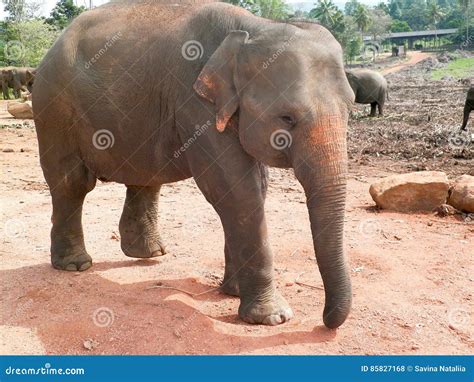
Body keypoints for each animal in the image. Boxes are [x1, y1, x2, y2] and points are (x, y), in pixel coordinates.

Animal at [33, 0, 354, 328]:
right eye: (287, 118)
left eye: (350, 109)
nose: (326, 321)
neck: (253, 28)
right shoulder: (195, 103)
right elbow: (235, 188)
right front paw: (272, 317)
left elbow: (255, 187)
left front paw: (233, 292)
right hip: (54, 108)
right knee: (72, 182)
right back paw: (76, 265)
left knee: (144, 176)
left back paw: (148, 254)